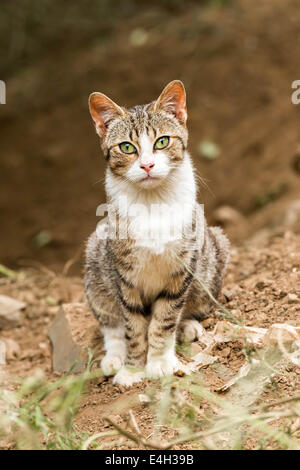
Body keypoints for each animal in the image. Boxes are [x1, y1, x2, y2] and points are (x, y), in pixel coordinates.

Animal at [83, 80, 229, 386]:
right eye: (126, 147)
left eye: (162, 141)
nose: (147, 165)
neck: (153, 203)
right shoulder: (123, 273)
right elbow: (133, 326)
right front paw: (132, 369)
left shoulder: (182, 268)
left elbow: (164, 319)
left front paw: (160, 362)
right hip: (95, 257)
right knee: (111, 323)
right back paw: (114, 356)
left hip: (214, 253)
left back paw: (187, 326)